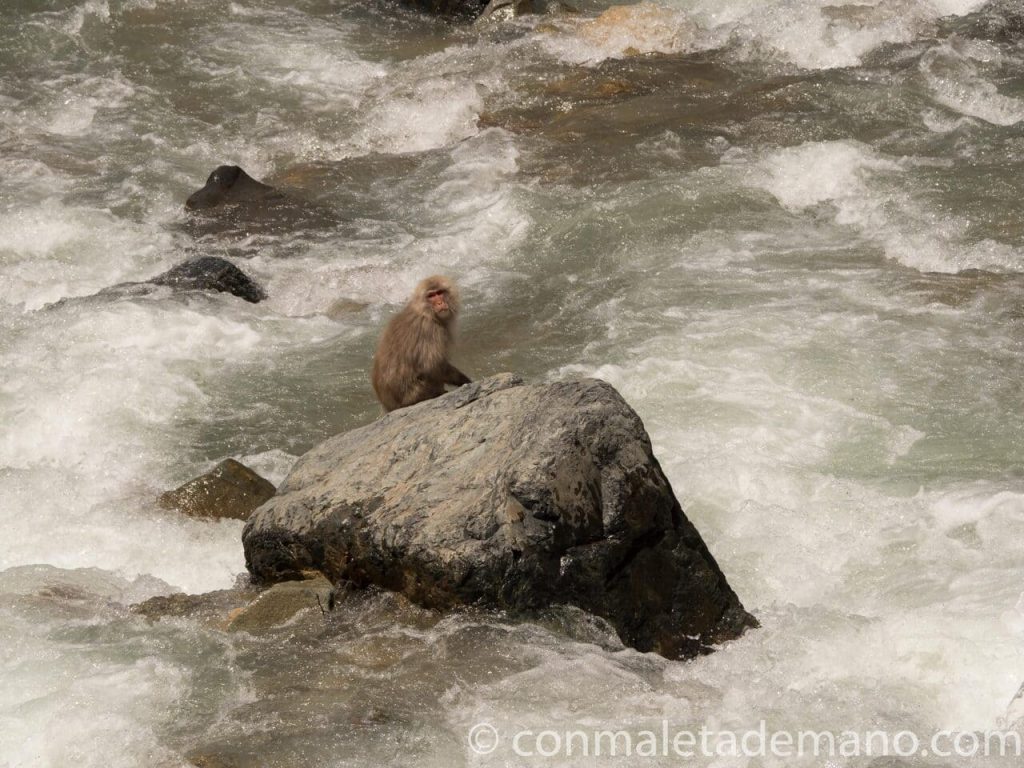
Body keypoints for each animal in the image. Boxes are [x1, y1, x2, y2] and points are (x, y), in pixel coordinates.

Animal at [371, 275, 472, 412]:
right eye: (431, 295)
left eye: (440, 293)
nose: (440, 303)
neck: (426, 312)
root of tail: (388, 406)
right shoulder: (431, 330)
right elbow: (431, 367)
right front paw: (463, 380)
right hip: (415, 393)